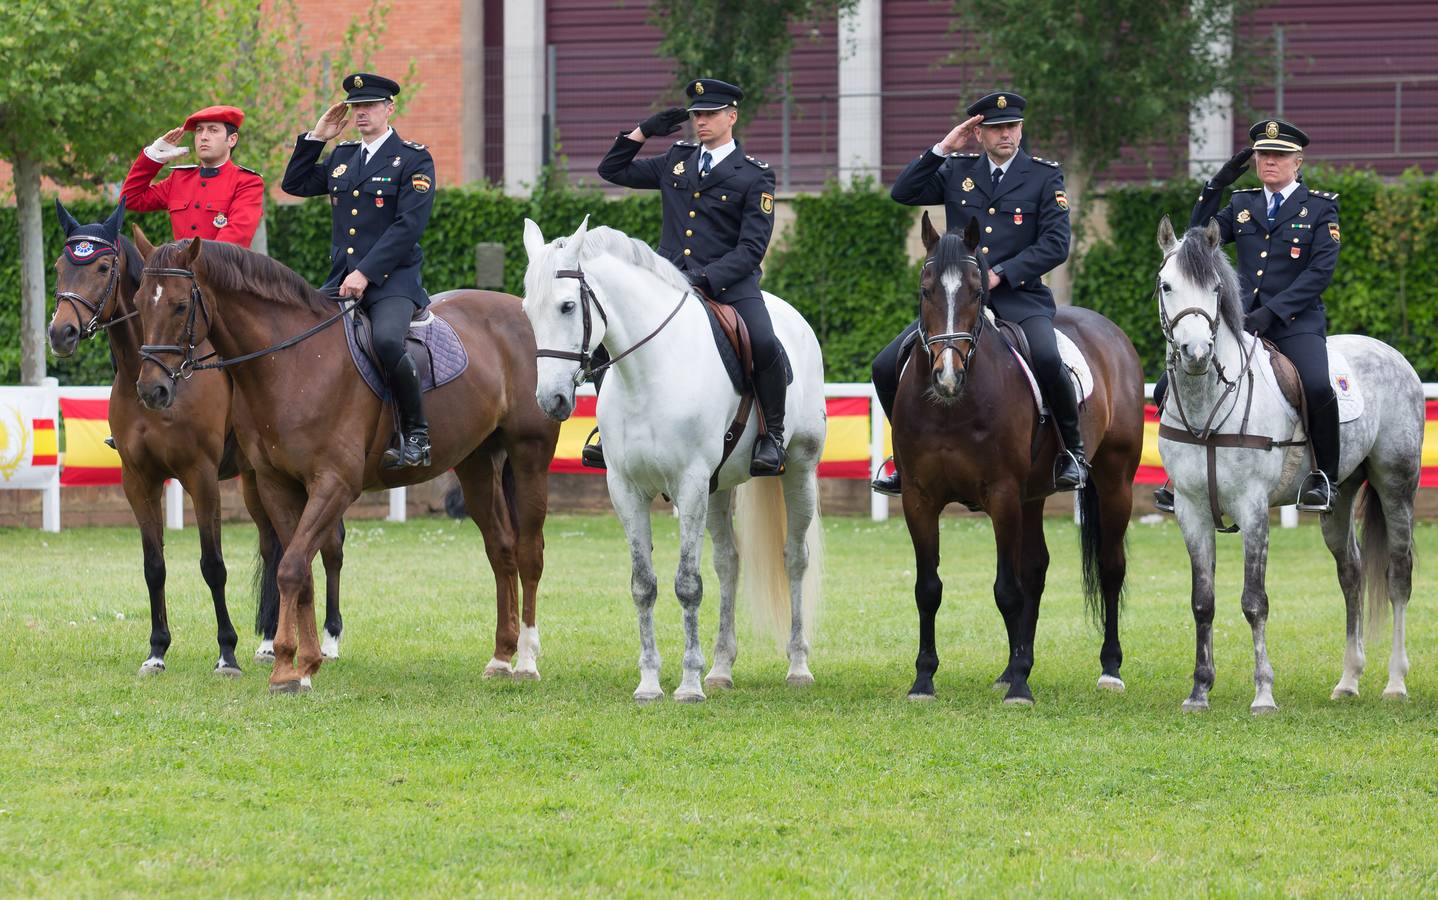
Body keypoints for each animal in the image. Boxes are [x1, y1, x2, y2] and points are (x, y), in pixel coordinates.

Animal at [47, 199, 345, 669]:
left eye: (101, 266)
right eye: (60, 267)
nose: (61, 333)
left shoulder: (200, 476)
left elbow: (213, 565)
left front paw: (226, 651)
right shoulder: (139, 480)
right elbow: (154, 566)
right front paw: (156, 650)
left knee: (330, 544)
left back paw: (330, 638)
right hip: (257, 480)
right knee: (273, 545)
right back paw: (268, 641)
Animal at [130, 232, 555, 692]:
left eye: (179, 305)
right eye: (138, 300)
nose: (151, 390)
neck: (293, 364)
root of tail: (518, 310)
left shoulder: (334, 484)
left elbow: (291, 567)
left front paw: (287, 666)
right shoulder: (276, 484)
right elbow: (300, 572)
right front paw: (303, 663)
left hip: (530, 455)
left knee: (529, 553)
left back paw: (527, 661)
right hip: (477, 462)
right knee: (501, 549)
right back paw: (501, 657)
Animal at [523, 217, 828, 701]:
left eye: (568, 306)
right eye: (528, 311)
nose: (550, 400)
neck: (649, 373)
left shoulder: (689, 484)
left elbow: (687, 584)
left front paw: (688, 683)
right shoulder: (626, 490)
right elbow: (643, 585)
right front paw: (650, 682)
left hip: (798, 470)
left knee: (795, 558)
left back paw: (797, 666)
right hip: (719, 488)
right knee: (728, 562)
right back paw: (721, 668)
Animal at [891, 214, 1138, 704]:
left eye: (976, 291)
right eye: (925, 290)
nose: (947, 376)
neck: (952, 406)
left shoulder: (1002, 495)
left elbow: (1007, 590)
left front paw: (1021, 688)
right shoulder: (918, 498)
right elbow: (928, 588)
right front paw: (924, 679)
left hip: (1115, 481)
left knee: (1110, 567)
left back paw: (1109, 669)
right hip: (1033, 495)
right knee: (1036, 569)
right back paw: (1013, 665)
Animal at [1150, 214, 1420, 710]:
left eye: (1215, 288)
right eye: (1167, 285)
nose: (1196, 354)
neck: (1207, 403)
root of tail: (1388, 352)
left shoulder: (1254, 510)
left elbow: (1254, 601)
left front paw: (1263, 693)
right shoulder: (1191, 512)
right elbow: (1203, 601)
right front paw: (1199, 690)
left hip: (1397, 486)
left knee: (1397, 575)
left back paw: (1395, 682)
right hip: (1339, 496)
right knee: (1351, 574)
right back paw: (1349, 680)